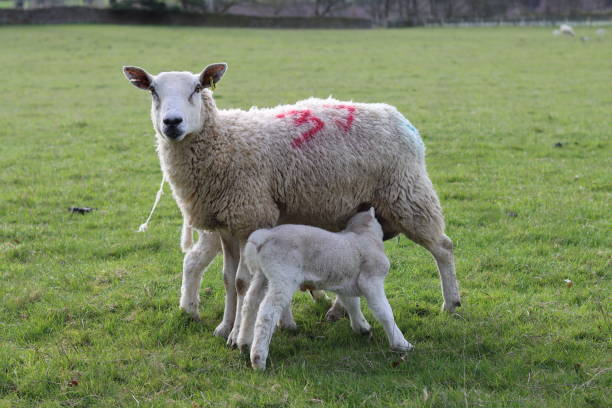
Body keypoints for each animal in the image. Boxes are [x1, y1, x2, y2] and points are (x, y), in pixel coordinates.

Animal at [123, 63, 460, 344]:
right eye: (153, 90)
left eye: (196, 88)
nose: (172, 122)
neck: (225, 140)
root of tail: (399, 118)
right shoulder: (226, 226)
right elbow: (227, 280)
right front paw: (224, 326)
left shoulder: (251, 217)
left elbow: (243, 282)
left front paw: (236, 335)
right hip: (369, 206)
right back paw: (337, 310)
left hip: (407, 195)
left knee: (443, 247)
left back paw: (451, 304)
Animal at [241, 209, 414, 372]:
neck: (362, 235)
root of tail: (265, 236)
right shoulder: (371, 280)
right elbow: (385, 312)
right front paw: (401, 343)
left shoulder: (345, 283)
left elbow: (352, 304)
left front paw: (361, 327)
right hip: (282, 275)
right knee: (267, 312)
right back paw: (258, 359)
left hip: (262, 275)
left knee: (250, 302)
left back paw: (243, 342)